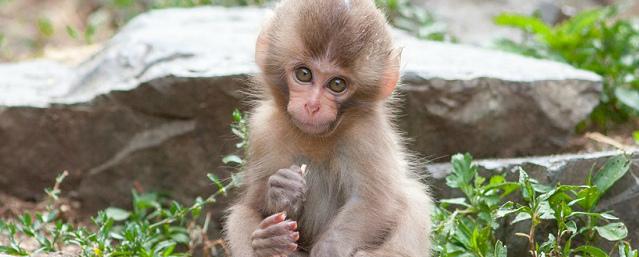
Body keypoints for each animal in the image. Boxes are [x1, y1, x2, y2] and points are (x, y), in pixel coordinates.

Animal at [222, 0, 432, 256]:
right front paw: (281, 191)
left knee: (414, 200)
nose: (312, 106)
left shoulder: (366, 135)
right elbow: (253, 203)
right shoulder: (264, 129)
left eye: (337, 84)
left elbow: (373, 202)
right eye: (304, 74)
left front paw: (329, 249)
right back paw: (269, 244)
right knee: (239, 215)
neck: (316, 138)